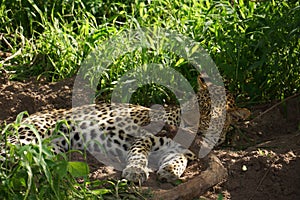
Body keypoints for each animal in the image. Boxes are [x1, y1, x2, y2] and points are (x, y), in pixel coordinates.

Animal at [1, 74, 250, 184]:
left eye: (210, 114)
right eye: (197, 104)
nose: (188, 121)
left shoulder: (178, 150)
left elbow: (179, 160)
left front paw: (169, 172)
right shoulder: (143, 135)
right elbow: (139, 153)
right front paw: (135, 171)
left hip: (53, 147)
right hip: (32, 133)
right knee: (10, 151)